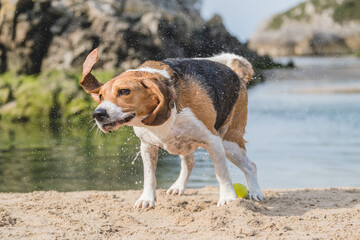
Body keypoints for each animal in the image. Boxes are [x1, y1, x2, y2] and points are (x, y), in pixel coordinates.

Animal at [79, 48, 264, 208]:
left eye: (124, 91)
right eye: (101, 96)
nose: (98, 114)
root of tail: (238, 76)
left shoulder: (213, 141)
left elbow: (221, 173)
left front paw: (228, 198)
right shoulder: (147, 146)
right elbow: (149, 176)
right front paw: (147, 199)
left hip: (229, 143)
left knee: (251, 166)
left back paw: (256, 192)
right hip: (185, 144)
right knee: (189, 163)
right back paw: (178, 187)